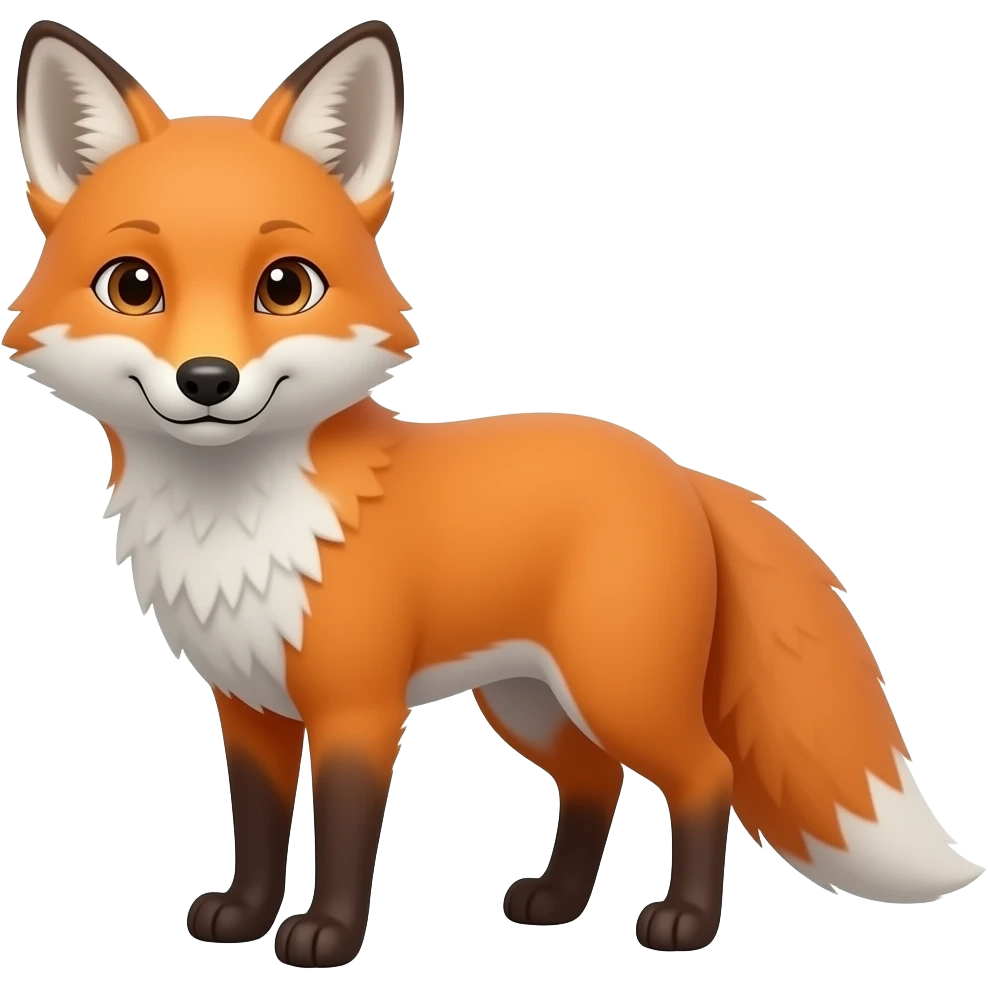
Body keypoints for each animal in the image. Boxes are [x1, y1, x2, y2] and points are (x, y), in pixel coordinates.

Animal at [8, 17, 984, 969]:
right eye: (134, 286)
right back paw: (556, 903)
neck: (236, 520)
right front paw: (244, 916)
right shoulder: (248, 705)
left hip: (616, 687)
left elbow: (347, 834)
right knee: (595, 780)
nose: (207, 380)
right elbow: (255, 825)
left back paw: (685, 923)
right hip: (529, 701)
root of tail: (675, 469)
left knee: (707, 775)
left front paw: (328, 936)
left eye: (284, 286)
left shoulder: (359, 707)